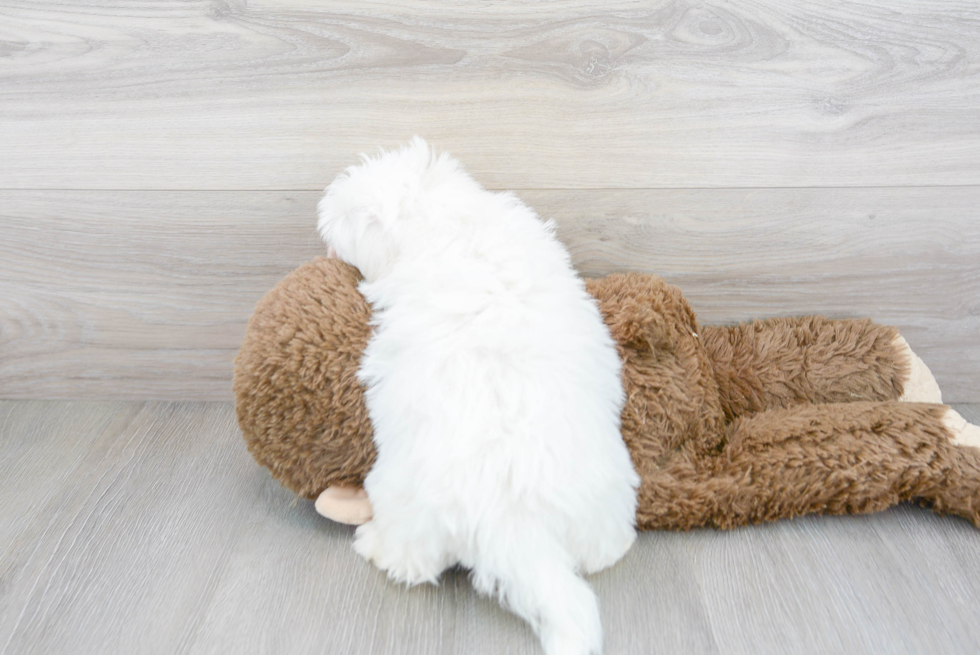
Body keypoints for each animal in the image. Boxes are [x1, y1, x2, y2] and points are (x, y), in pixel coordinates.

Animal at [318, 138, 640, 655]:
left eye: (347, 218)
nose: (323, 225)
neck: (446, 223)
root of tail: (514, 525)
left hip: (403, 495)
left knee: (412, 558)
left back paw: (373, 544)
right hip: (602, 502)